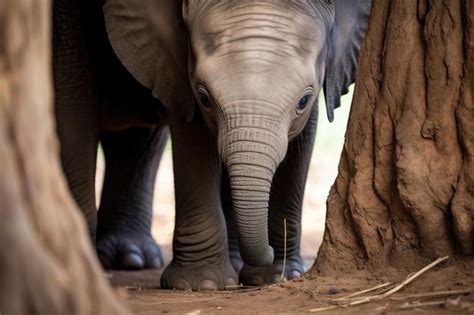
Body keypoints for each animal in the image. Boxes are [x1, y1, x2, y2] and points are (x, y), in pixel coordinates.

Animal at [52, 0, 370, 292]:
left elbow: (302, 140)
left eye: (303, 101)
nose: (267, 250)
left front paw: (278, 277)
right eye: (204, 97)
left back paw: (135, 257)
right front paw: (201, 284)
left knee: (137, 142)